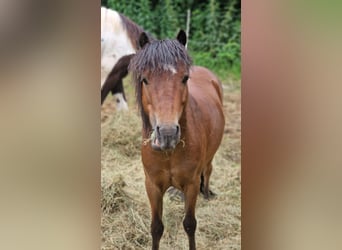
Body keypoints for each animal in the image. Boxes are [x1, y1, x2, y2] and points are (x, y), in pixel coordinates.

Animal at [128, 30, 224, 249]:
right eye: (145, 79)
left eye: (184, 78)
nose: (167, 134)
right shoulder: (152, 186)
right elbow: (156, 227)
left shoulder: (191, 184)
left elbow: (189, 224)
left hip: (209, 159)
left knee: (208, 171)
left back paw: (207, 194)